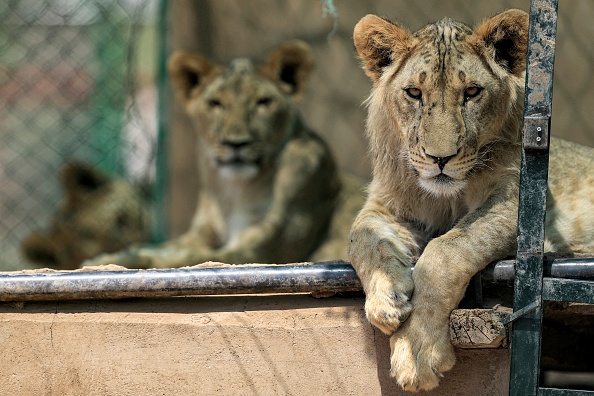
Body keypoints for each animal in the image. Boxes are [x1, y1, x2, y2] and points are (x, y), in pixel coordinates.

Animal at [82, 39, 360, 270]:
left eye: (263, 102)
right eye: (215, 103)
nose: (235, 144)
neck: (235, 190)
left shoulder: (261, 251)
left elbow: (193, 258)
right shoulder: (202, 233)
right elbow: (164, 247)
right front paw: (115, 255)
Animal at [346, 9, 592, 392]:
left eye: (472, 92)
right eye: (414, 92)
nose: (440, 158)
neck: (447, 197)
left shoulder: (518, 204)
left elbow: (447, 250)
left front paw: (416, 351)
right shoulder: (389, 204)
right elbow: (361, 236)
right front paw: (386, 300)